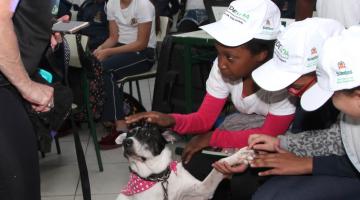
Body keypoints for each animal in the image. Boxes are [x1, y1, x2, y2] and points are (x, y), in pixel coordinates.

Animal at [114, 123, 255, 200]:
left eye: (147, 134)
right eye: (128, 135)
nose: (126, 142)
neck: (159, 178)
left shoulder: (202, 190)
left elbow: (217, 169)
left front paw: (239, 156)